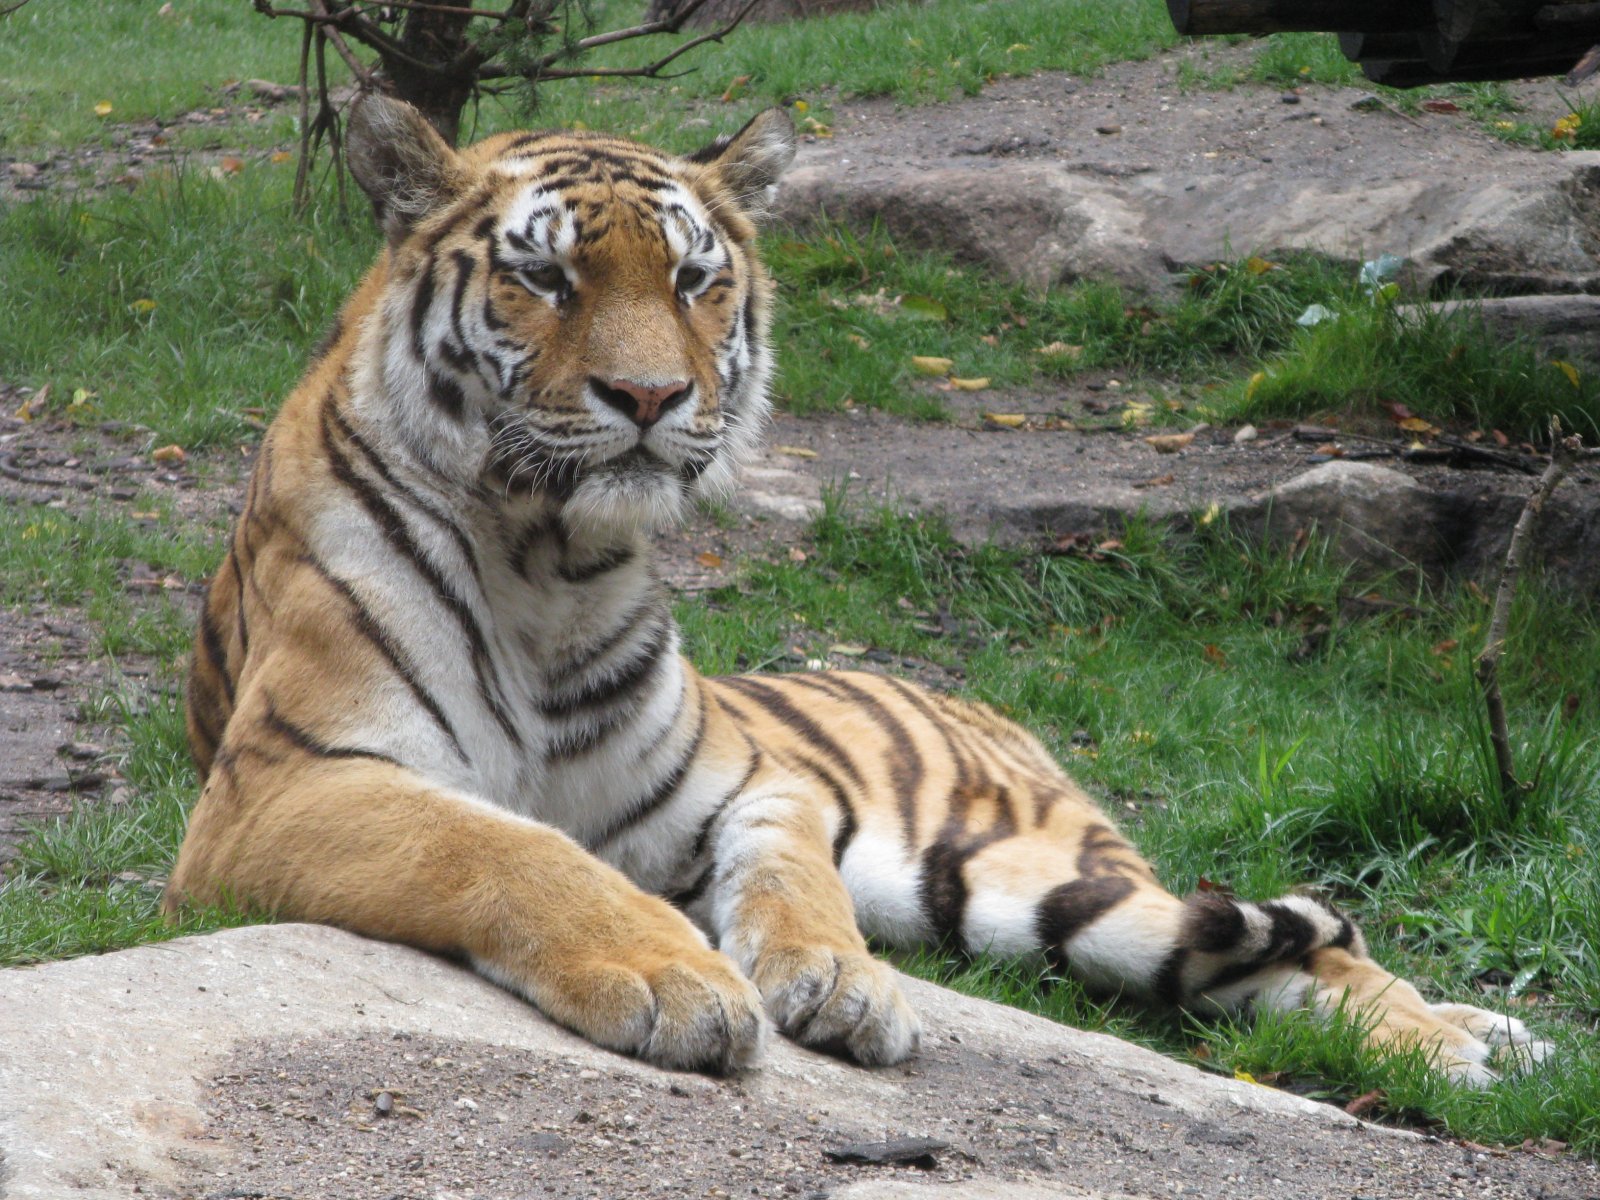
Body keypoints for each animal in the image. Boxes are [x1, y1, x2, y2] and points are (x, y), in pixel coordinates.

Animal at [165, 94, 1548, 1088]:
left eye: (692, 280)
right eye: (546, 279)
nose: (650, 398)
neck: (554, 561)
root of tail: (987, 703)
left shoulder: (746, 782)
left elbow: (795, 879)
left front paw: (840, 984)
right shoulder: (284, 787)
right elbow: (504, 846)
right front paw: (672, 978)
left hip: (1029, 874)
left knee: (1322, 942)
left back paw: (1469, 1046)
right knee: (1264, 955)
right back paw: (1469, 1043)